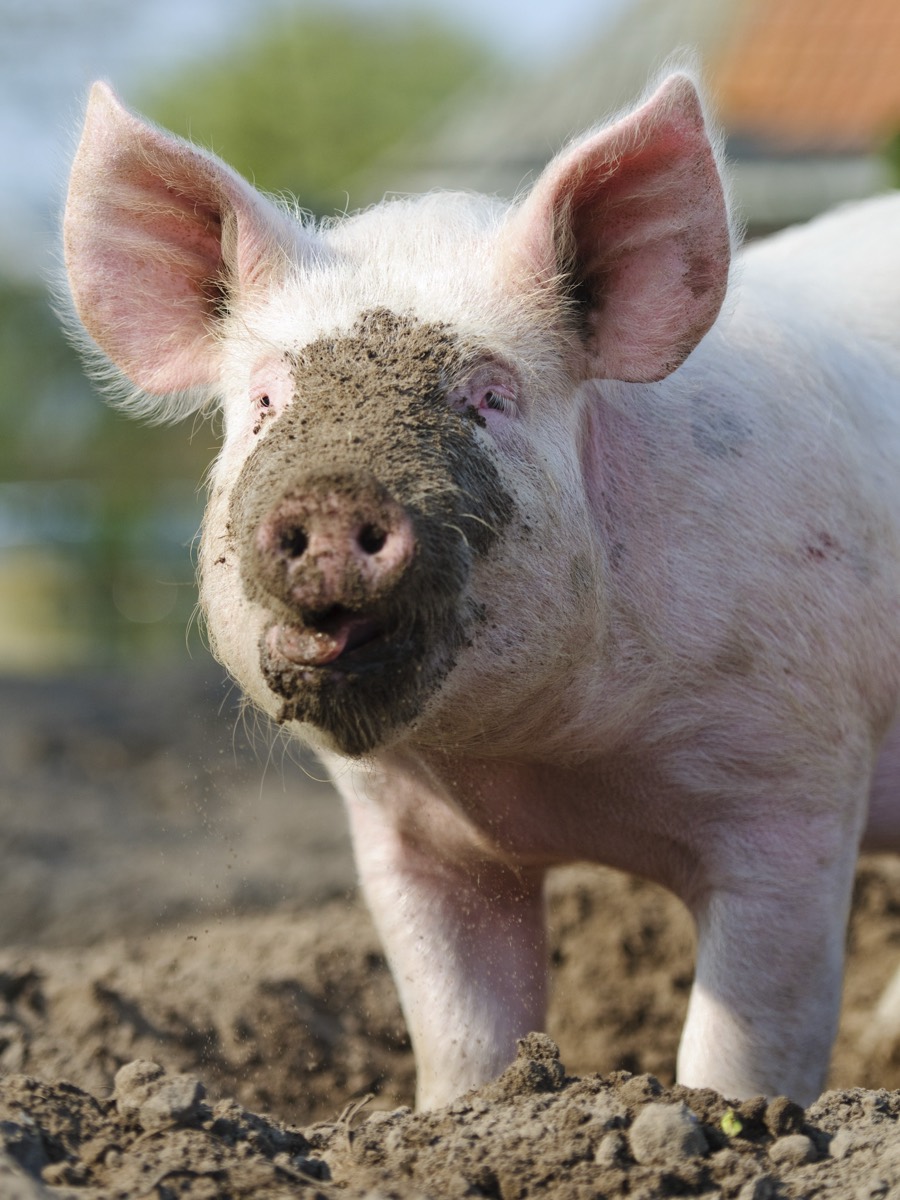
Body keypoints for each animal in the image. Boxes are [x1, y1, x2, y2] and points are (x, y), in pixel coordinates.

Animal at [62, 70, 900, 1110]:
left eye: (490, 397)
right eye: (264, 402)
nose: (332, 500)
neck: (543, 774)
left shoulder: (794, 792)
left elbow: (743, 1051)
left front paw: (733, 1115)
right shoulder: (404, 842)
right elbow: (462, 1036)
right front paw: (458, 1115)